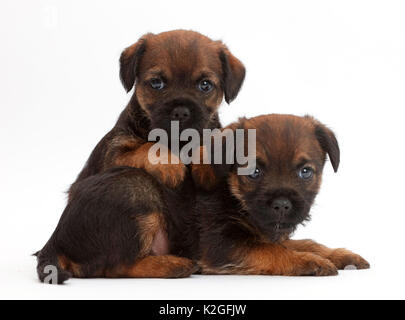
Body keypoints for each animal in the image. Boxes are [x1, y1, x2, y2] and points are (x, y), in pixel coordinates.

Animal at [196, 114, 370, 276]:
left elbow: (305, 243)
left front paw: (338, 254)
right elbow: (272, 250)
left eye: (305, 172)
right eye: (254, 172)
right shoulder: (221, 244)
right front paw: (308, 260)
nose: (281, 205)